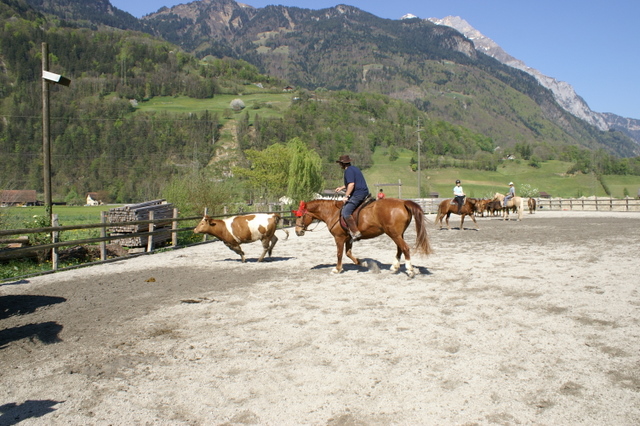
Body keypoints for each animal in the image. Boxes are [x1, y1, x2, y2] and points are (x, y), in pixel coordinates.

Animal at [293, 198, 432, 278]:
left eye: (300, 216)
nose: (297, 232)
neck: (333, 212)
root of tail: (402, 202)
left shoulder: (339, 238)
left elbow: (339, 254)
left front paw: (337, 269)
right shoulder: (349, 238)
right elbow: (348, 253)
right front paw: (364, 263)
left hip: (394, 234)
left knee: (405, 248)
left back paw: (410, 270)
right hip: (397, 234)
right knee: (400, 249)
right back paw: (395, 267)